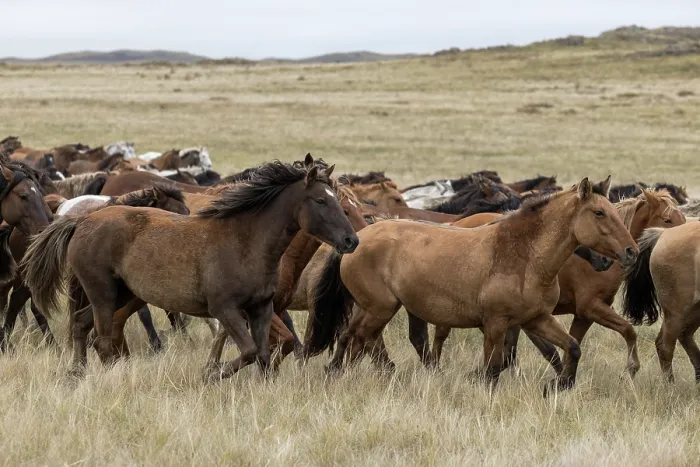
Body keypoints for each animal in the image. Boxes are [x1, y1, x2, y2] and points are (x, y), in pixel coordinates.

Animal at [23, 159, 359, 380]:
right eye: (321, 200)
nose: (351, 240)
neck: (246, 241)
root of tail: (81, 221)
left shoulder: (261, 308)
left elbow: (263, 356)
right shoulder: (225, 309)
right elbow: (249, 351)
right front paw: (211, 373)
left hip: (124, 294)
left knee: (82, 325)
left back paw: (75, 373)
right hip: (103, 293)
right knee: (102, 339)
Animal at [304, 177, 638, 394]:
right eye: (599, 212)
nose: (631, 252)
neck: (524, 256)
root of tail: (357, 240)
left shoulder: (536, 319)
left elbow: (572, 347)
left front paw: (559, 385)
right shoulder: (496, 323)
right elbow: (492, 368)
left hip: (371, 308)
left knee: (351, 339)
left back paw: (338, 375)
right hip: (380, 309)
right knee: (360, 341)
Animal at [622, 221, 700, 382]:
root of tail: (663, 233)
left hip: (694, 310)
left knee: (683, 336)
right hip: (677, 312)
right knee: (665, 346)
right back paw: (670, 385)